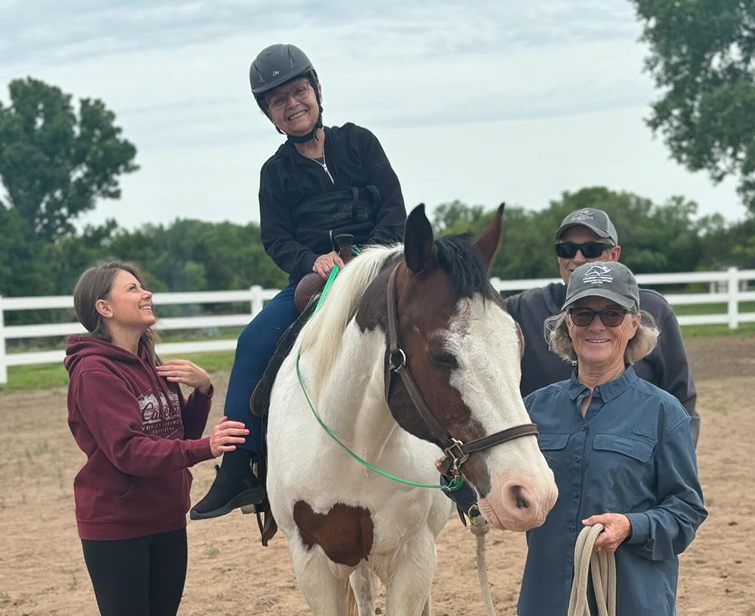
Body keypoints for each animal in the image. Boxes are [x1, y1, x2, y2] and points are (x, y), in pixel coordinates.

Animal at [266, 204, 558, 615]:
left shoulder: (413, 559)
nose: (532, 494)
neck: (353, 447)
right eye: (441, 354)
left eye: (518, 344)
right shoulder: (313, 566)